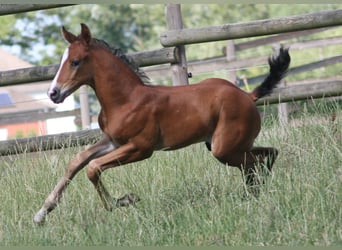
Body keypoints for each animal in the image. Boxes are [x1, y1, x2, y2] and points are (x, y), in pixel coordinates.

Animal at [33, 22, 290, 224]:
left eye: (75, 62)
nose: (53, 93)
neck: (126, 99)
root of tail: (247, 96)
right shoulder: (113, 141)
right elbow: (77, 161)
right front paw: (41, 213)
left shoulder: (140, 148)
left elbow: (93, 167)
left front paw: (124, 200)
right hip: (231, 145)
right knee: (269, 154)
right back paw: (254, 194)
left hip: (223, 148)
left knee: (257, 162)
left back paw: (255, 195)